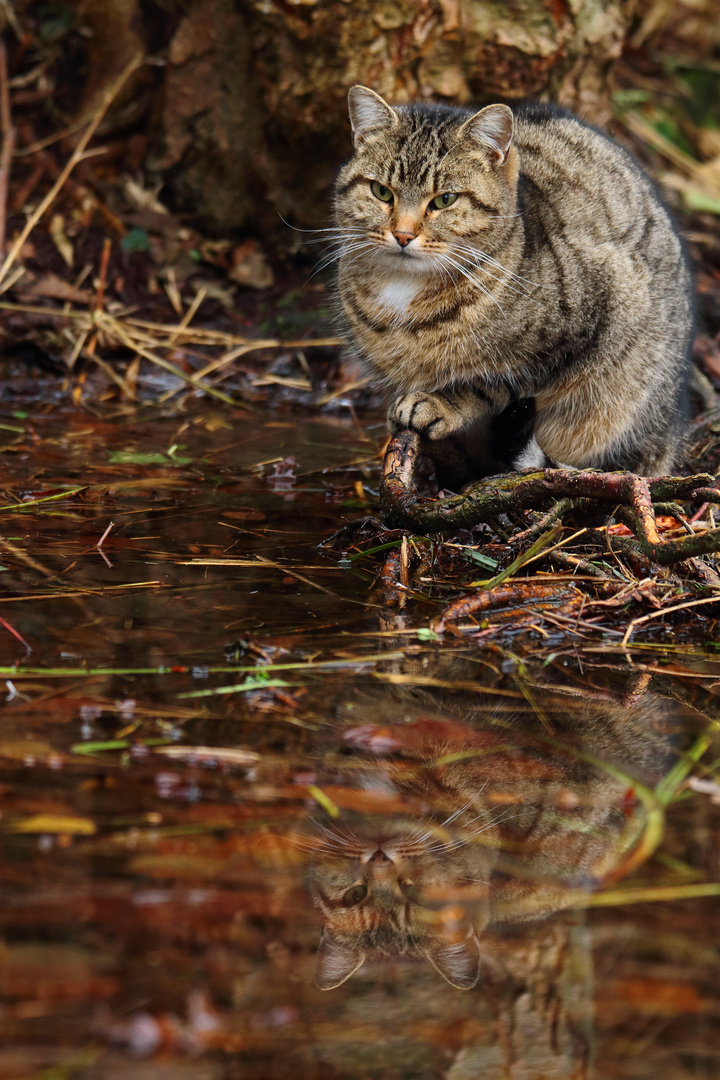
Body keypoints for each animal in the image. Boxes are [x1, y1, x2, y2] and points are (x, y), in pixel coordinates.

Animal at [334, 86, 695, 488]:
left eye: (445, 199)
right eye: (381, 192)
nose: (402, 235)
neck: (405, 286)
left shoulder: (574, 331)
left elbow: (488, 383)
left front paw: (440, 402)